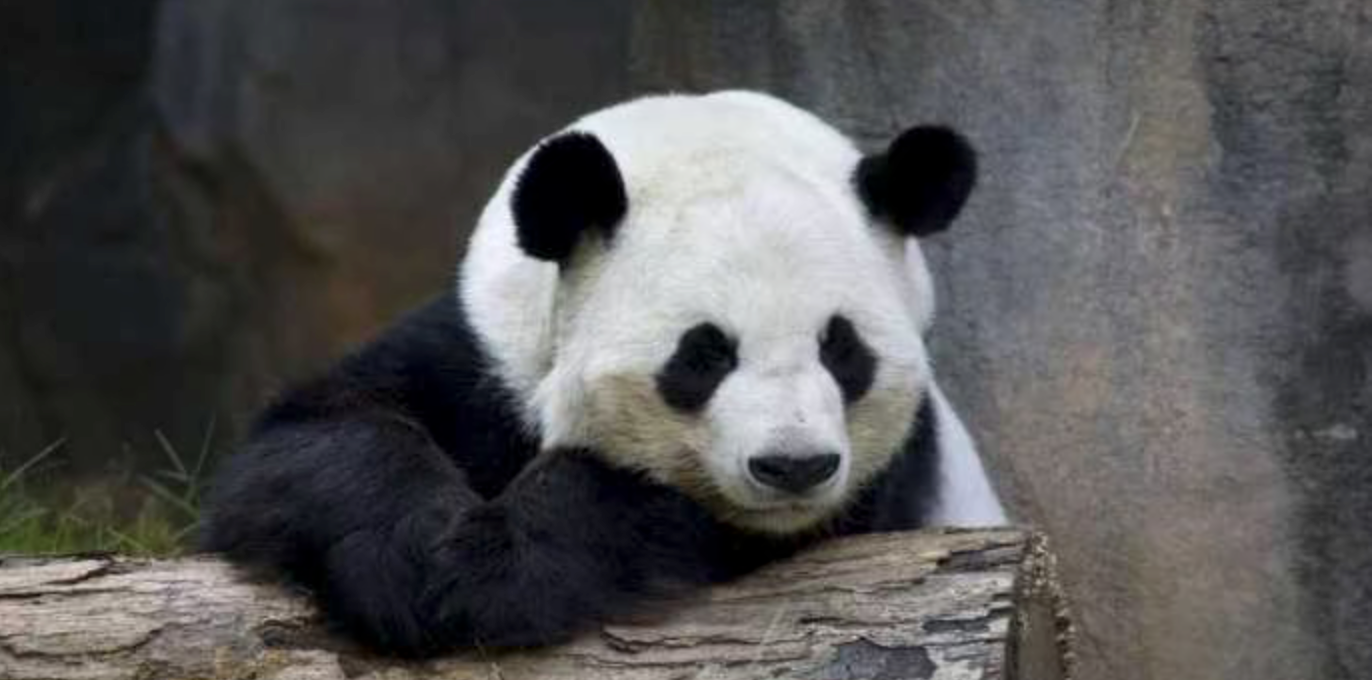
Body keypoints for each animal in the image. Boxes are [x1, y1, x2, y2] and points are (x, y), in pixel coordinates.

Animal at [202, 90, 1005, 657]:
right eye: (705, 354)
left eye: (841, 350)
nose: (793, 466)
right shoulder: (480, 350)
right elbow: (312, 437)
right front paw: (414, 558)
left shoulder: (874, 491)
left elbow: (648, 509)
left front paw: (489, 571)